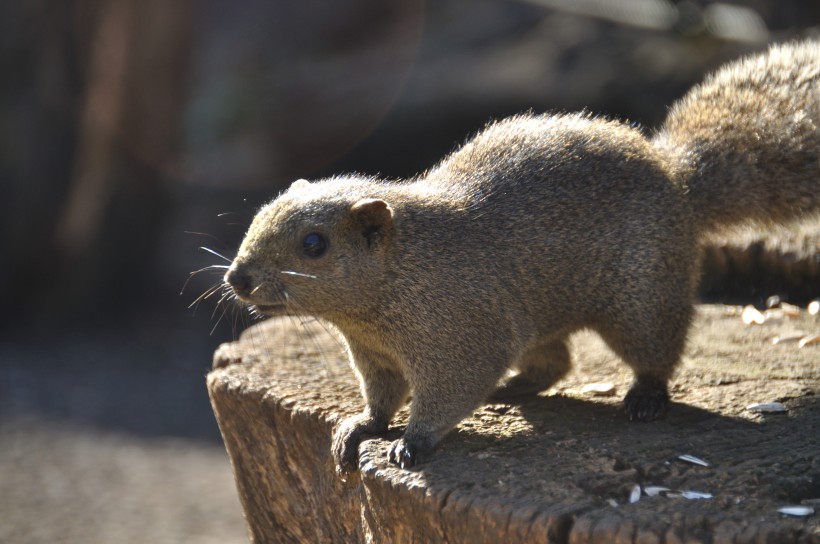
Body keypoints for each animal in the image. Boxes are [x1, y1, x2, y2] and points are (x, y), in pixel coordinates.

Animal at [223, 42, 820, 474]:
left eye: (314, 244)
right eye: (259, 213)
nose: (238, 278)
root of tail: (679, 178)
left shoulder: (460, 334)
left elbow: (448, 393)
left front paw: (413, 444)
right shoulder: (375, 355)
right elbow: (381, 398)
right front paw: (361, 428)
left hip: (644, 297)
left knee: (655, 352)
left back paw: (645, 398)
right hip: (536, 317)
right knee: (556, 362)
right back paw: (512, 389)